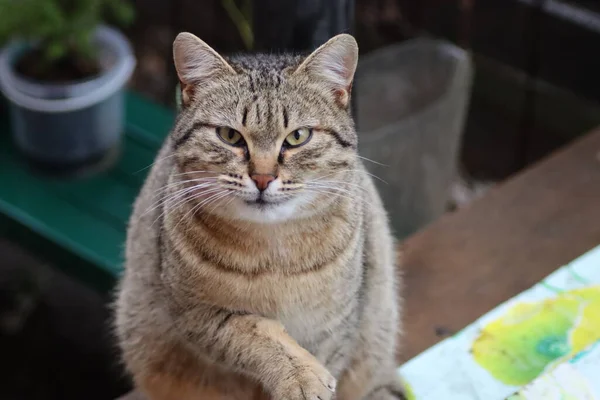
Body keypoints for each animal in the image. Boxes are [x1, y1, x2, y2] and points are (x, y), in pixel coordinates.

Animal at [113, 32, 404, 400]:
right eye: (230, 136)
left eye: (297, 137)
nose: (263, 178)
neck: (274, 254)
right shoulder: (196, 314)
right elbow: (256, 332)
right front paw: (299, 375)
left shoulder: (336, 328)